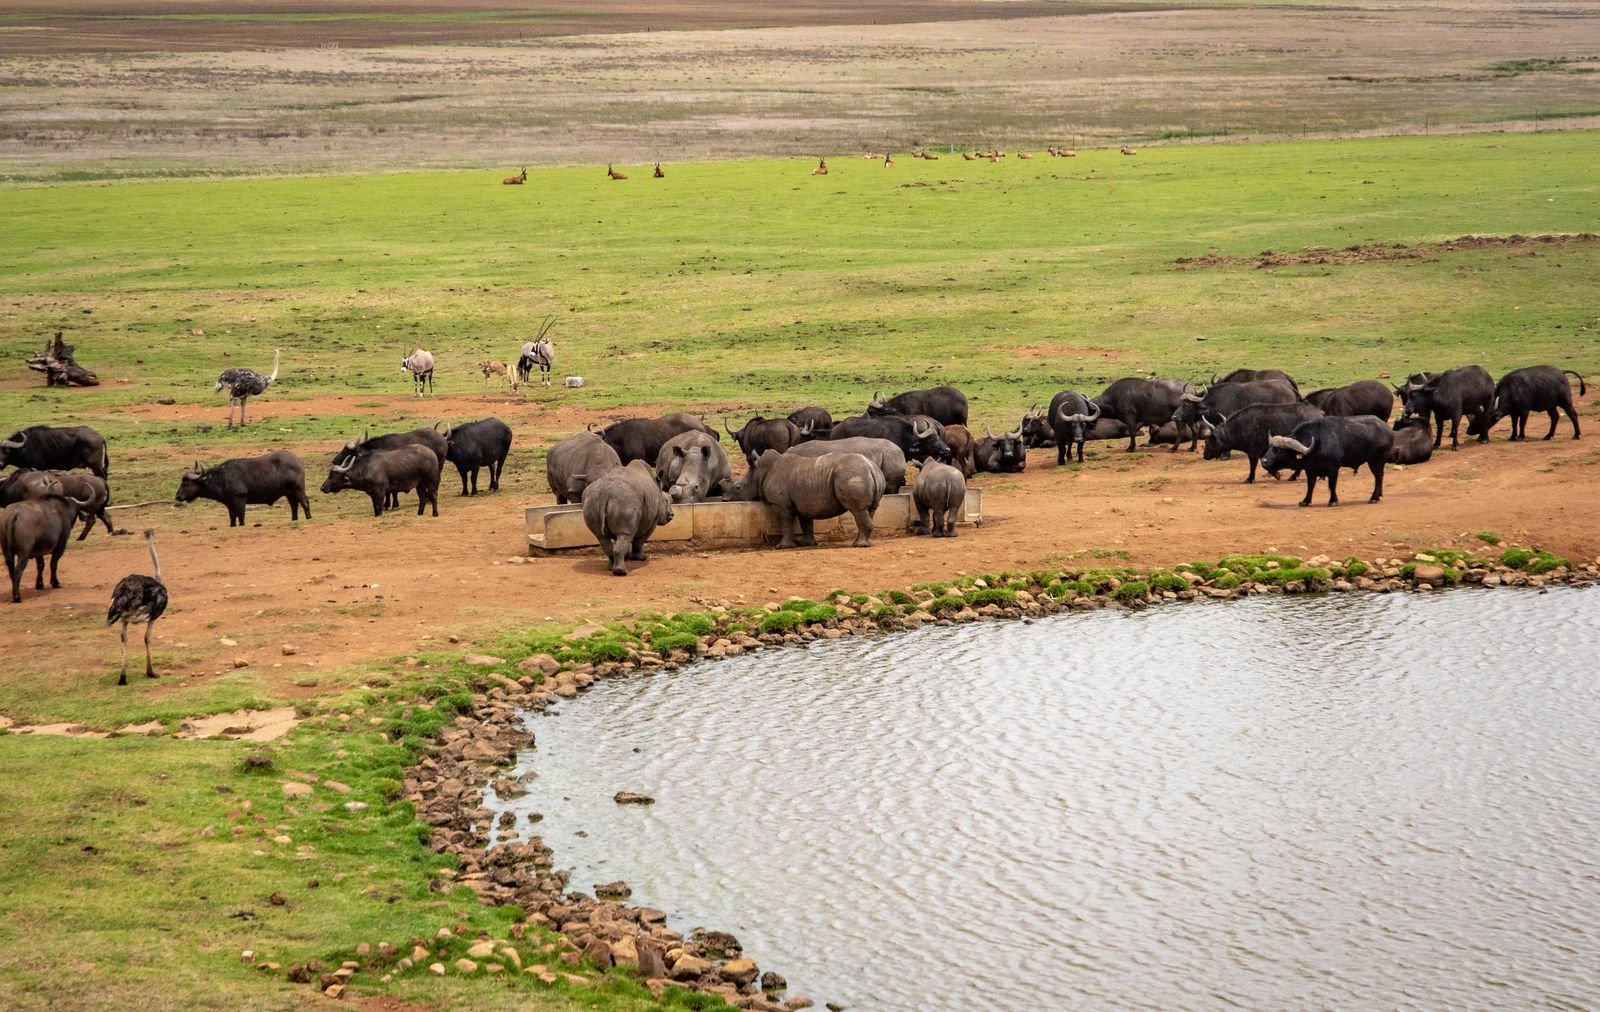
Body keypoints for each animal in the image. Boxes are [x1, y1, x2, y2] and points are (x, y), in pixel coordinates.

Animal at [174, 452, 311, 527]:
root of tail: (298, 461)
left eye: (186, 483)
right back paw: (294, 520)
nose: (178, 497)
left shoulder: (240, 500)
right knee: (294, 505)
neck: (222, 478)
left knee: (304, 502)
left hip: (298, 489)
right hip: (289, 493)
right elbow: (232, 518)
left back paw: (308, 518)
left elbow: (241, 517)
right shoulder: (230, 504)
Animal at [1260, 416, 1394, 507]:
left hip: (1377, 460)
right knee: (1379, 476)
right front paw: (1305, 501)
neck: (1317, 443)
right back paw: (1379, 495)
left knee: (1378, 476)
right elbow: (1310, 485)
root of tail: (1387, 429)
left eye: (1279, 450)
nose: (1264, 461)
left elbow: (1332, 485)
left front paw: (1333, 501)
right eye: (1270, 447)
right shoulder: (1310, 469)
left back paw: (1374, 498)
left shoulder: (1333, 468)